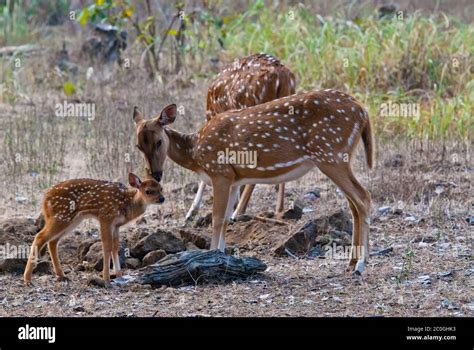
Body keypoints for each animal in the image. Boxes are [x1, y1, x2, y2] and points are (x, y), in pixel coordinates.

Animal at [132, 89, 374, 274]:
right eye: (137, 146)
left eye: (159, 141)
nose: (155, 174)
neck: (195, 153)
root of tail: (363, 111)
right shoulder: (233, 179)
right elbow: (227, 219)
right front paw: (222, 257)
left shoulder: (220, 172)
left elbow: (217, 219)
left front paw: (210, 257)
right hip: (339, 156)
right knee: (354, 204)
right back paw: (352, 262)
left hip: (330, 153)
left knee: (364, 198)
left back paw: (361, 265)